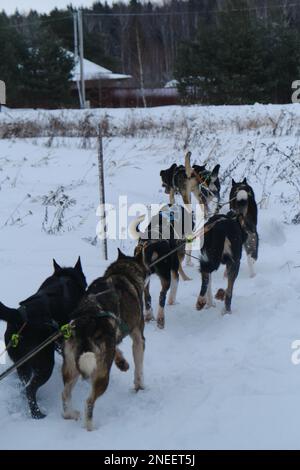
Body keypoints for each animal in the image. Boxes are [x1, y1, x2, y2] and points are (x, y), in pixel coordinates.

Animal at [0, 258, 86, 418]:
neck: (65, 278)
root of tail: (19, 317)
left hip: (22, 364)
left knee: (25, 385)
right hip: (45, 363)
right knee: (30, 390)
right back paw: (37, 414)